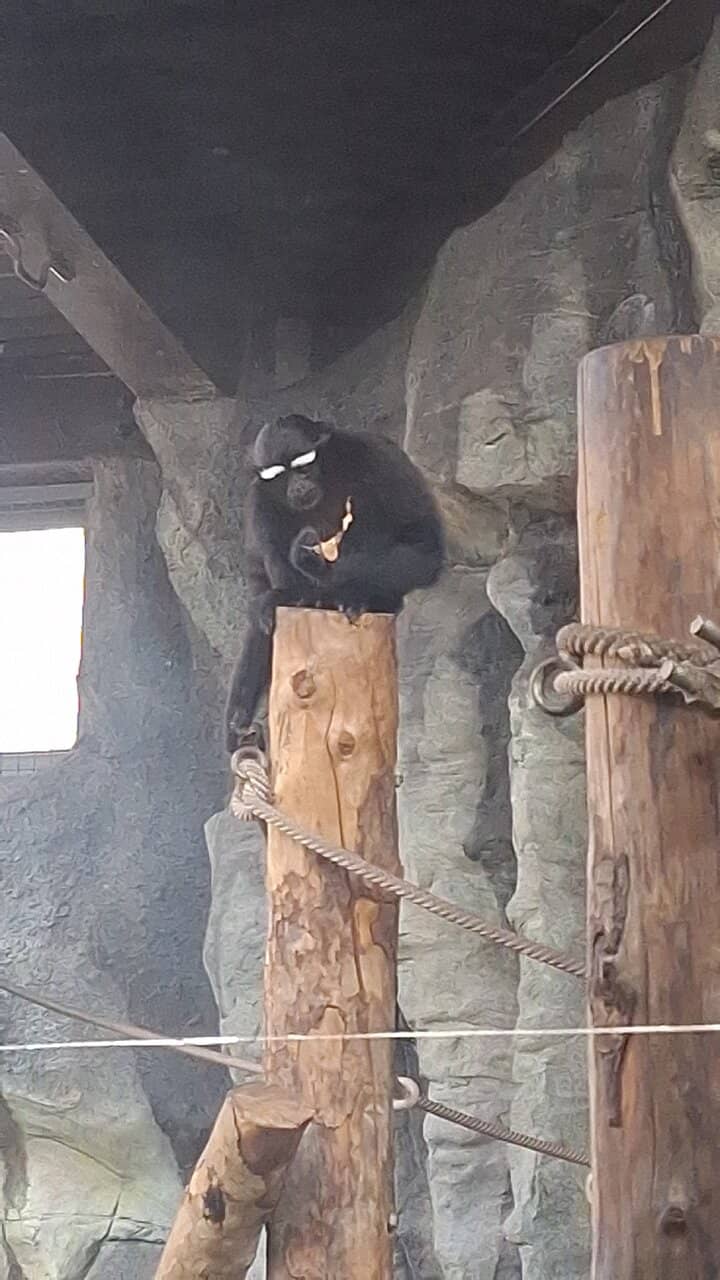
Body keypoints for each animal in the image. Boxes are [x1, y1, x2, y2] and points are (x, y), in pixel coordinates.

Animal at [225, 414, 445, 752]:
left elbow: (425, 545)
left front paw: (323, 569)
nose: (298, 486)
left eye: (302, 468)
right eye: (281, 476)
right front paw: (286, 593)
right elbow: (284, 589)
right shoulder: (259, 503)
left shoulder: (379, 456)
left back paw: (357, 597)